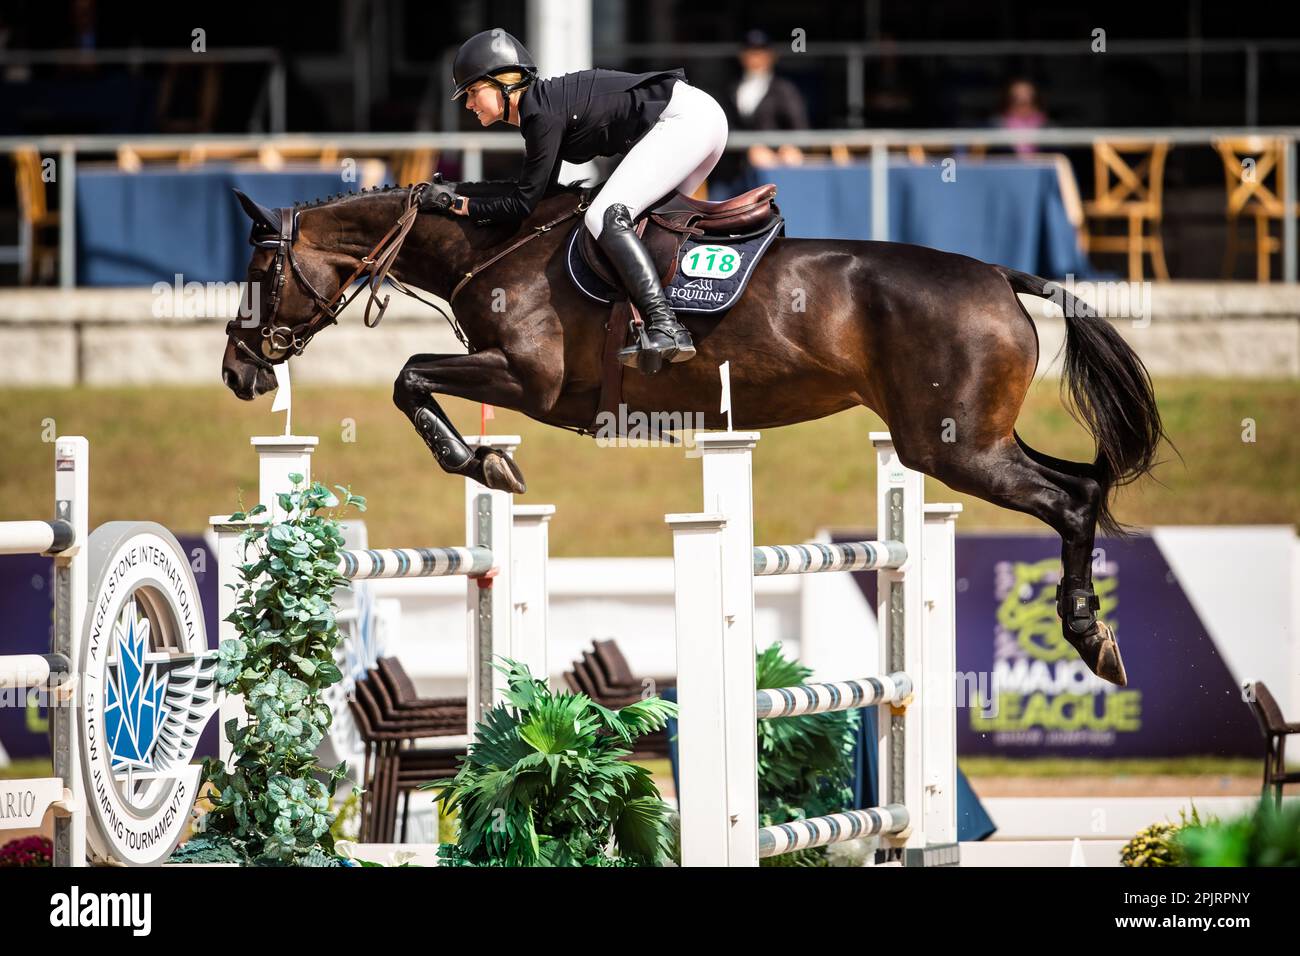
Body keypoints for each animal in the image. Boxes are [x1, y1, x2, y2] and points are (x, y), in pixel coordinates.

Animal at [223, 180, 1170, 686]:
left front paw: (484, 463)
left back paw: (1091, 638)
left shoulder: (528, 381)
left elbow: (409, 375)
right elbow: (414, 377)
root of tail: (1002, 276)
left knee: (1070, 499)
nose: (240, 370)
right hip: (968, 440)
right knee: (1083, 484)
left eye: (262, 268)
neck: (495, 247)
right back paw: (1096, 636)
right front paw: (489, 462)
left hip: (952, 446)